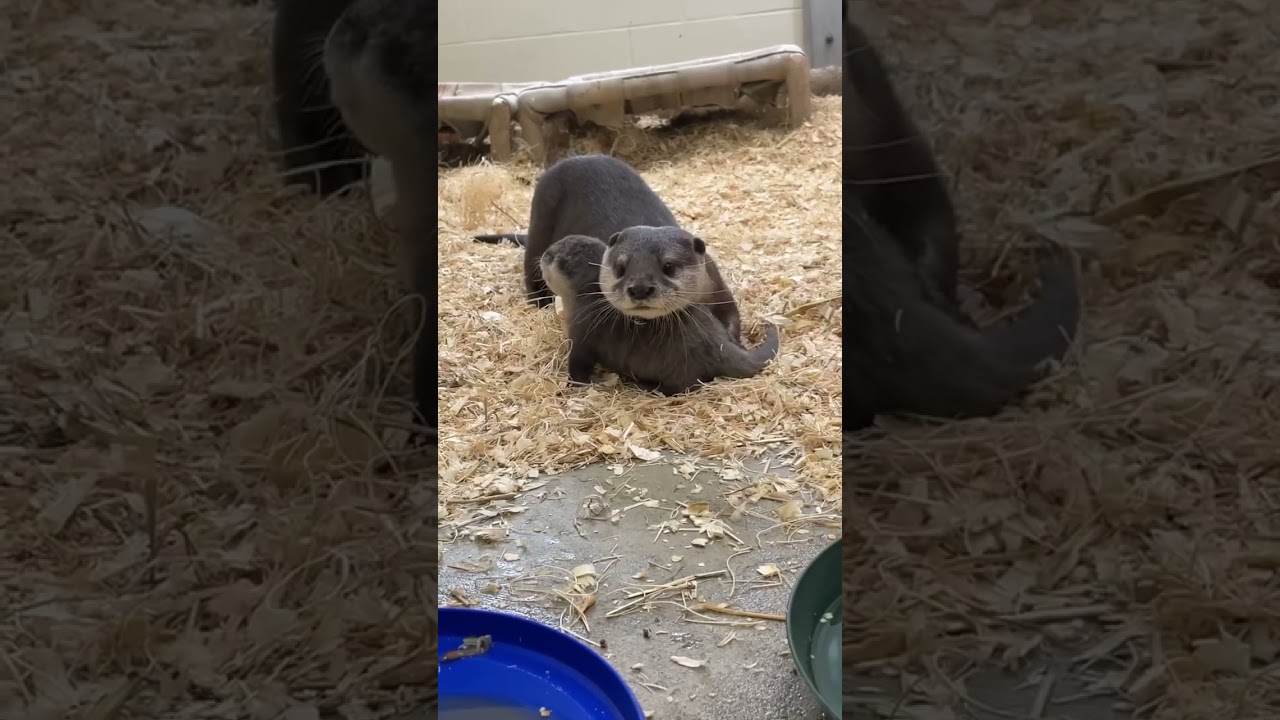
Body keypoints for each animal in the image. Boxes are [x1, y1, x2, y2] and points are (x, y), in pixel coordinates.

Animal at [471, 155, 743, 344]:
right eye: (620, 268)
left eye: (669, 266)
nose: (640, 289)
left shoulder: (716, 285)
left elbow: (733, 317)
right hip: (540, 219)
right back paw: (540, 302)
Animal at [555, 229, 780, 395]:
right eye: (620, 268)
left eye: (669, 266)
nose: (640, 288)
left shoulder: (718, 287)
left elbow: (731, 316)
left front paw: (736, 342)